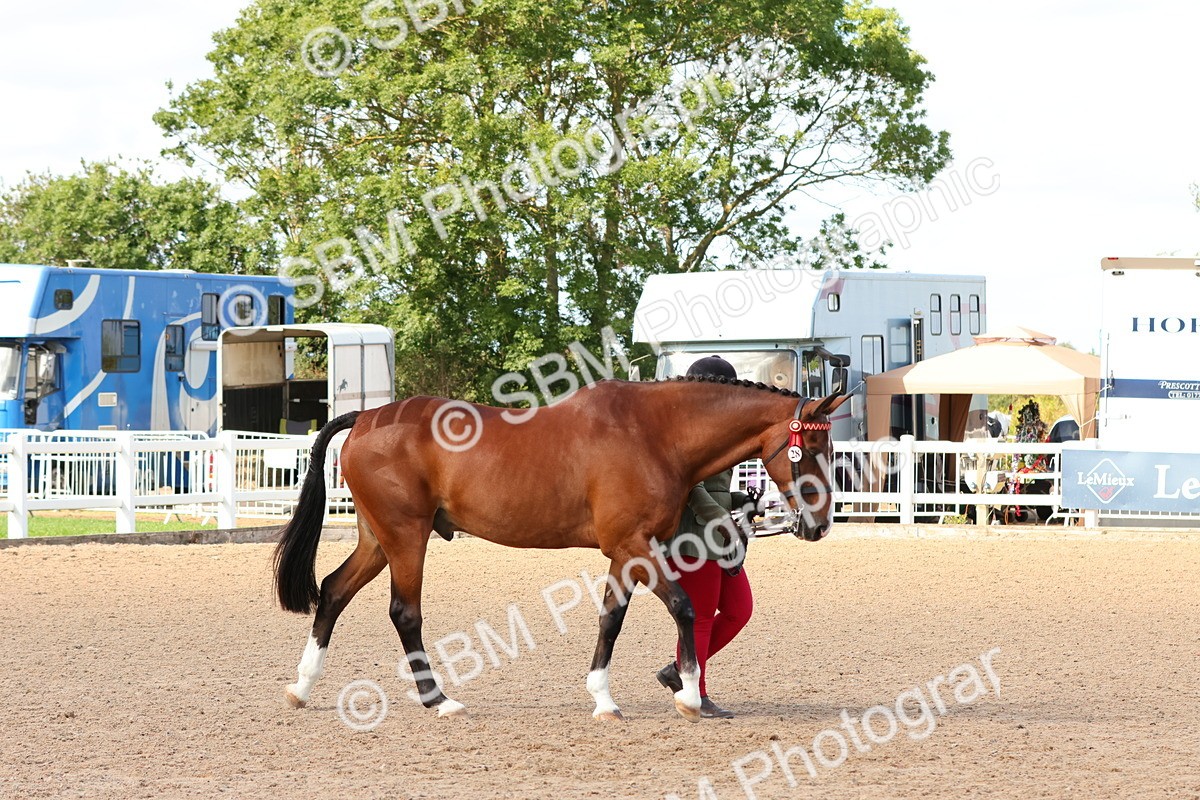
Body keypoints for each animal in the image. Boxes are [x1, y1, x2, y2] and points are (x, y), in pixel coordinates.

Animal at [273, 376, 849, 722]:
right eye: (810, 448)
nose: (820, 524)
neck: (655, 434)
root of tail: (367, 417)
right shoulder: (635, 545)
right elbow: (684, 606)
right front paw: (687, 695)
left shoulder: (624, 552)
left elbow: (610, 618)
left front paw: (603, 699)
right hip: (406, 538)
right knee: (403, 612)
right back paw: (439, 700)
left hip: (378, 539)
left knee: (333, 591)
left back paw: (302, 687)